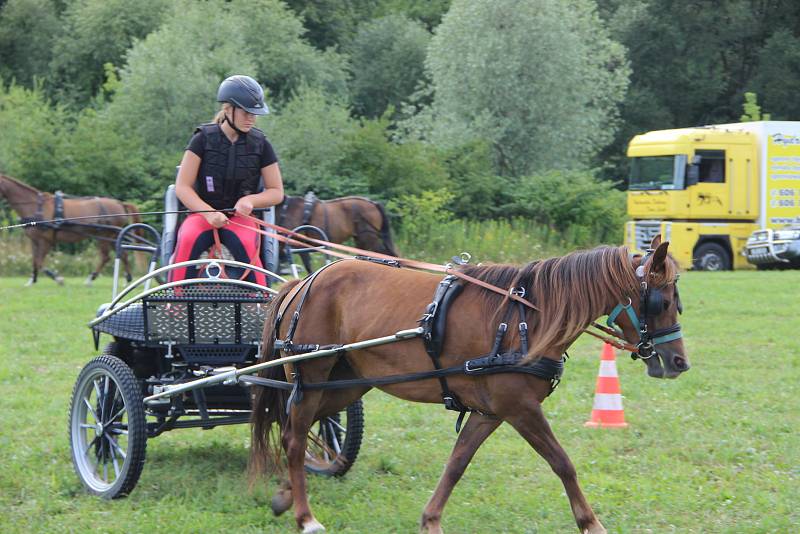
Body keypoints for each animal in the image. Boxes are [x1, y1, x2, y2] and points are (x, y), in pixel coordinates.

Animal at [0, 175, 141, 284]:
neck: (36, 207)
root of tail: (119, 203)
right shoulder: (34, 241)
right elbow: (34, 261)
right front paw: (32, 280)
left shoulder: (46, 241)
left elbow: (39, 262)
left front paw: (57, 278)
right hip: (113, 236)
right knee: (123, 254)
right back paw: (127, 279)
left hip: (105, 236)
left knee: (106, 257)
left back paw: (91, 278)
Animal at [250, 239, 688, 534]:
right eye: (662, 302)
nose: (679, 362)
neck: (525, 319)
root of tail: (302, 282)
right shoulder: (520, 408)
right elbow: (562, 462)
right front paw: (591, 523)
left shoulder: (490, 411)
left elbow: (457, 462)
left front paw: (431, 519)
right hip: (312, 373)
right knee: (294, 436)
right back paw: (305, 516)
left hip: (348, 382)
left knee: (301, 429)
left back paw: (287, 494)